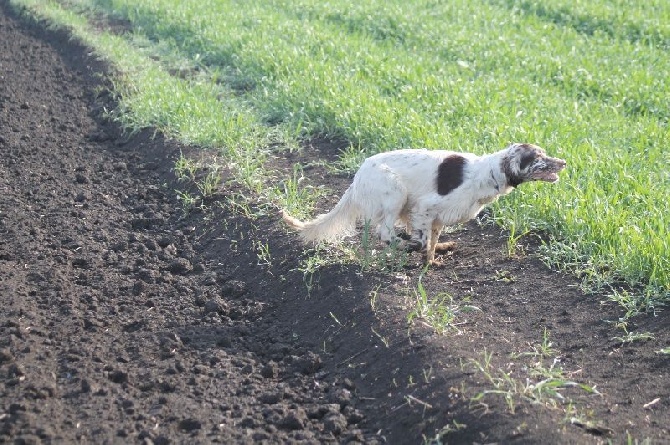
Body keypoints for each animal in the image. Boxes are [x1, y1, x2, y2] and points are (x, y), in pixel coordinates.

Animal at [282, 143, 568, 264]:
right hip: (395, 192)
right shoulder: (425, 208)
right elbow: (420, 240)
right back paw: (401, 244)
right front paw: (418, 251)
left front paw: (433, 257)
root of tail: (357, 178)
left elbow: (430, 242)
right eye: (538, 157)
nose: (564, 162)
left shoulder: (436, 218)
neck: (487, 173)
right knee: (385, 233)